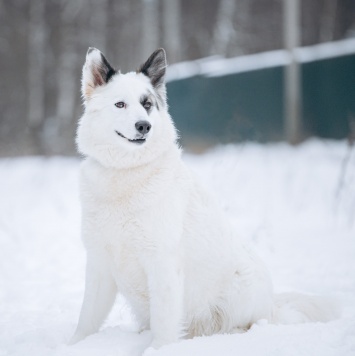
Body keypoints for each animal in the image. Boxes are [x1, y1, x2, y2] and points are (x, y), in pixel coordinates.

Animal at [70, 48, 340, 350]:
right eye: (120, 105)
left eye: (147, 104)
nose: (144, 126)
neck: (126, 173)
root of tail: (273, 305)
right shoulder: (99, 265)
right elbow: (86, 319)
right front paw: (72, 345)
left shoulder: (162, 264)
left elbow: (164, 323)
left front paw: (157, 350)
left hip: (238, 291)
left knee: (250, 324)